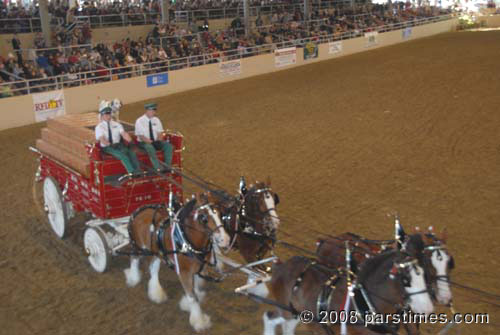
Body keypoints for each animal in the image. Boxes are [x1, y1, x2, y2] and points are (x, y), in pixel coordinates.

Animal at [124, 193, 229, 332]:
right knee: (134, 259)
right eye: (204, 218)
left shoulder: (197, 270)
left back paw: (156, 292)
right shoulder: (184, 273)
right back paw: (133, 278)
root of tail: (139, 210)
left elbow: (195, 289)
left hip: (158, 253)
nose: (225, 240)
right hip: (138, 247)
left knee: (153, 268)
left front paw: (187, 305)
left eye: (221, 214)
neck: (187, 242)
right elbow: (192, 297)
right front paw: (199, 321)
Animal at [262, 251, 434, 335]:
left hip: (297, 314)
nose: (427, 309)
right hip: (288, 312)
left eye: (425, 276)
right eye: (406, 280)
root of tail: (281, 266)